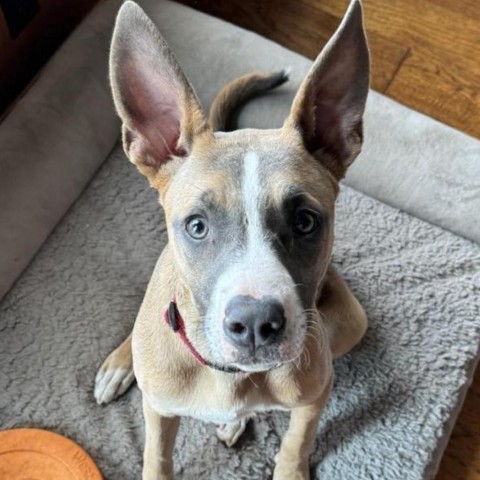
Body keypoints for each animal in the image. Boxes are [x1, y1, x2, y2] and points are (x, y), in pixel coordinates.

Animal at [95, 1, 370, 478]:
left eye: (305, 222)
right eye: (197, 225)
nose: (257, 324)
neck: (229, 376)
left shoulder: (315, 393)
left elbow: (297, 440)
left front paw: (289, 466)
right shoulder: (159, 410)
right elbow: (157, 455)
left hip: (352, 321)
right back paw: (121, 363)